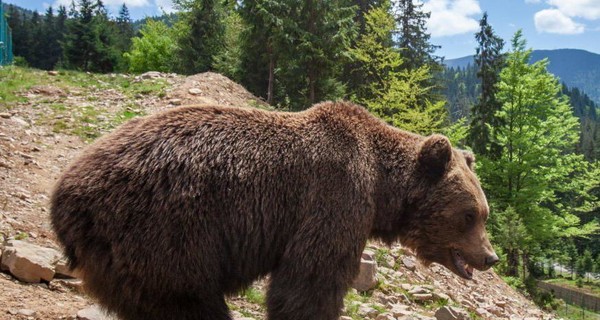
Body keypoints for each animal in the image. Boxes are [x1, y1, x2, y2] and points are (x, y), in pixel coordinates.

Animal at [51, 102, 500, 320]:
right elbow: (310, 282)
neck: (381, 186)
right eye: (469, 214)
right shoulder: (334, 198)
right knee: (189, 304)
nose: (490, 257)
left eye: (484, 213)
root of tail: (65, 194)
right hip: (164, 234)